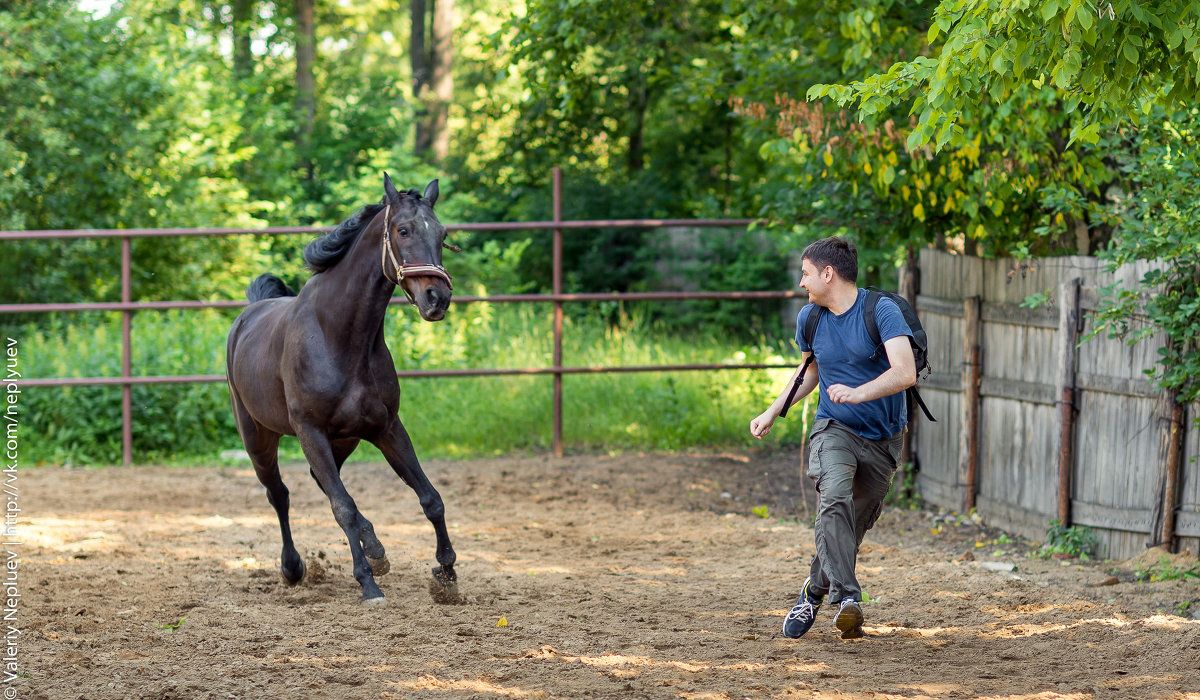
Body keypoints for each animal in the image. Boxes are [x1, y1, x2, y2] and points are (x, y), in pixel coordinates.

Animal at [225, 172, 458, 605]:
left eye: (442, 234)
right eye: (402, 230)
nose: (437, 298)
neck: (341, 337)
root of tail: (247, 316)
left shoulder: (386, 428)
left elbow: (430, 498)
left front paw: (447, 572)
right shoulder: (310, 432)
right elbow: (342, 507)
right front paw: (368, 584)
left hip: (345, 440)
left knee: (321, 482)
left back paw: (377, 549)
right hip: (258, 438)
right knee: (280, 494)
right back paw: (294, 568)